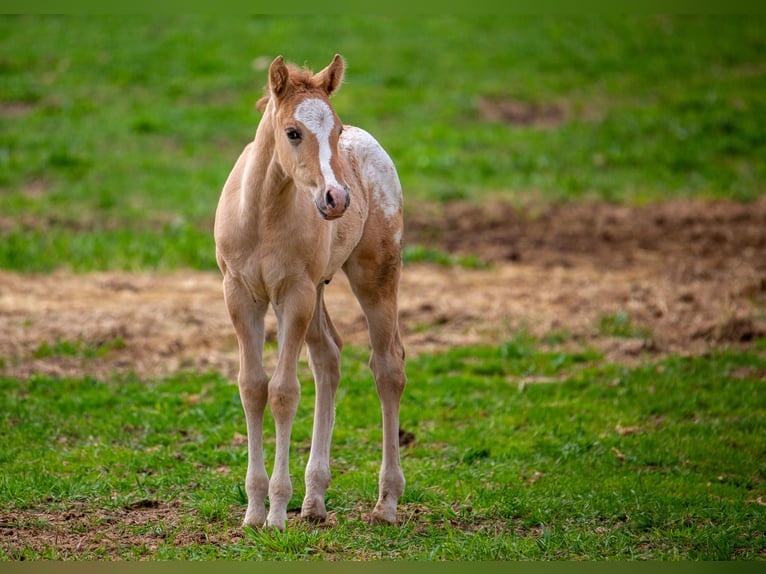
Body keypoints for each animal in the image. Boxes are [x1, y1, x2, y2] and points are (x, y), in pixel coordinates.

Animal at [214, 54, 406, 531]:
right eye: (293, 132)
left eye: (335, 131)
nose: (337, 198)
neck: (262, 216)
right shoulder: (239, 294)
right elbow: (252, 387)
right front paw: (253, 513)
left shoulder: (293, 294)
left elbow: (284, 392)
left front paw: (276, 514)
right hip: (319, 288)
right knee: (329, 357)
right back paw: (315, 499)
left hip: (375, 274)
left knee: (388, 366)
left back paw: (387, 503)